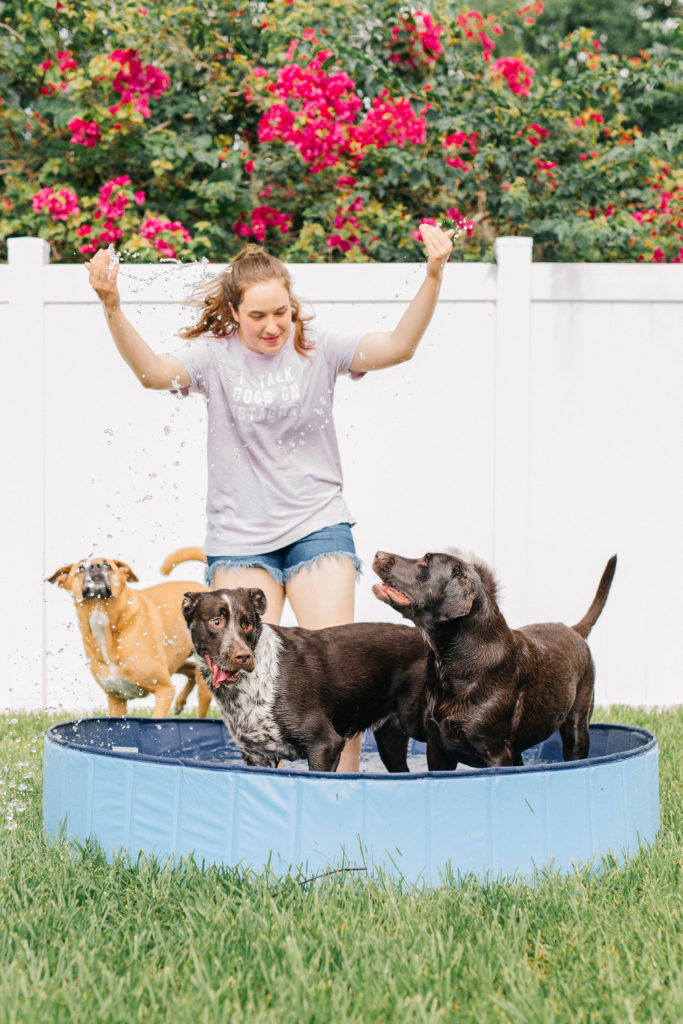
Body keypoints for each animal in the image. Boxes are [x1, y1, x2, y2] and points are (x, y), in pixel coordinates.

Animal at [47, 548, 208, 716]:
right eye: (80, 568)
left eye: (108, 565)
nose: (95, 566)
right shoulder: (116, 698)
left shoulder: (164, 690)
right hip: (174, 659)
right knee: (191, 670)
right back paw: (180, 702)